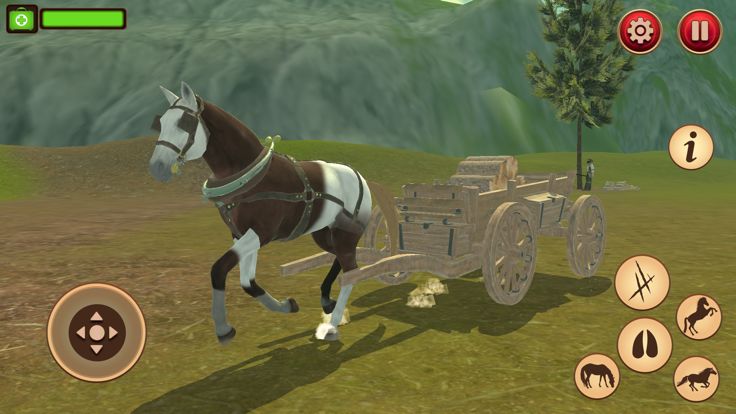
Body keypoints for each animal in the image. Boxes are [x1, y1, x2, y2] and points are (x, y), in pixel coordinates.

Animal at [148, 82, 373, 343]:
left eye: (184, 122)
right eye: (161, 122)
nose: (157, 167)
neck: (248, 176)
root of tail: (358, 175)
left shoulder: (261, 233)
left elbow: (218, 269)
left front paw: (223, 327)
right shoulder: (240, 234)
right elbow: (247, 281)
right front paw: (286, 305)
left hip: (345, 233)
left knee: (351, 270)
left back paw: (332, 325)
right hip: (325, 232)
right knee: (340, 259)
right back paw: (327, 301)